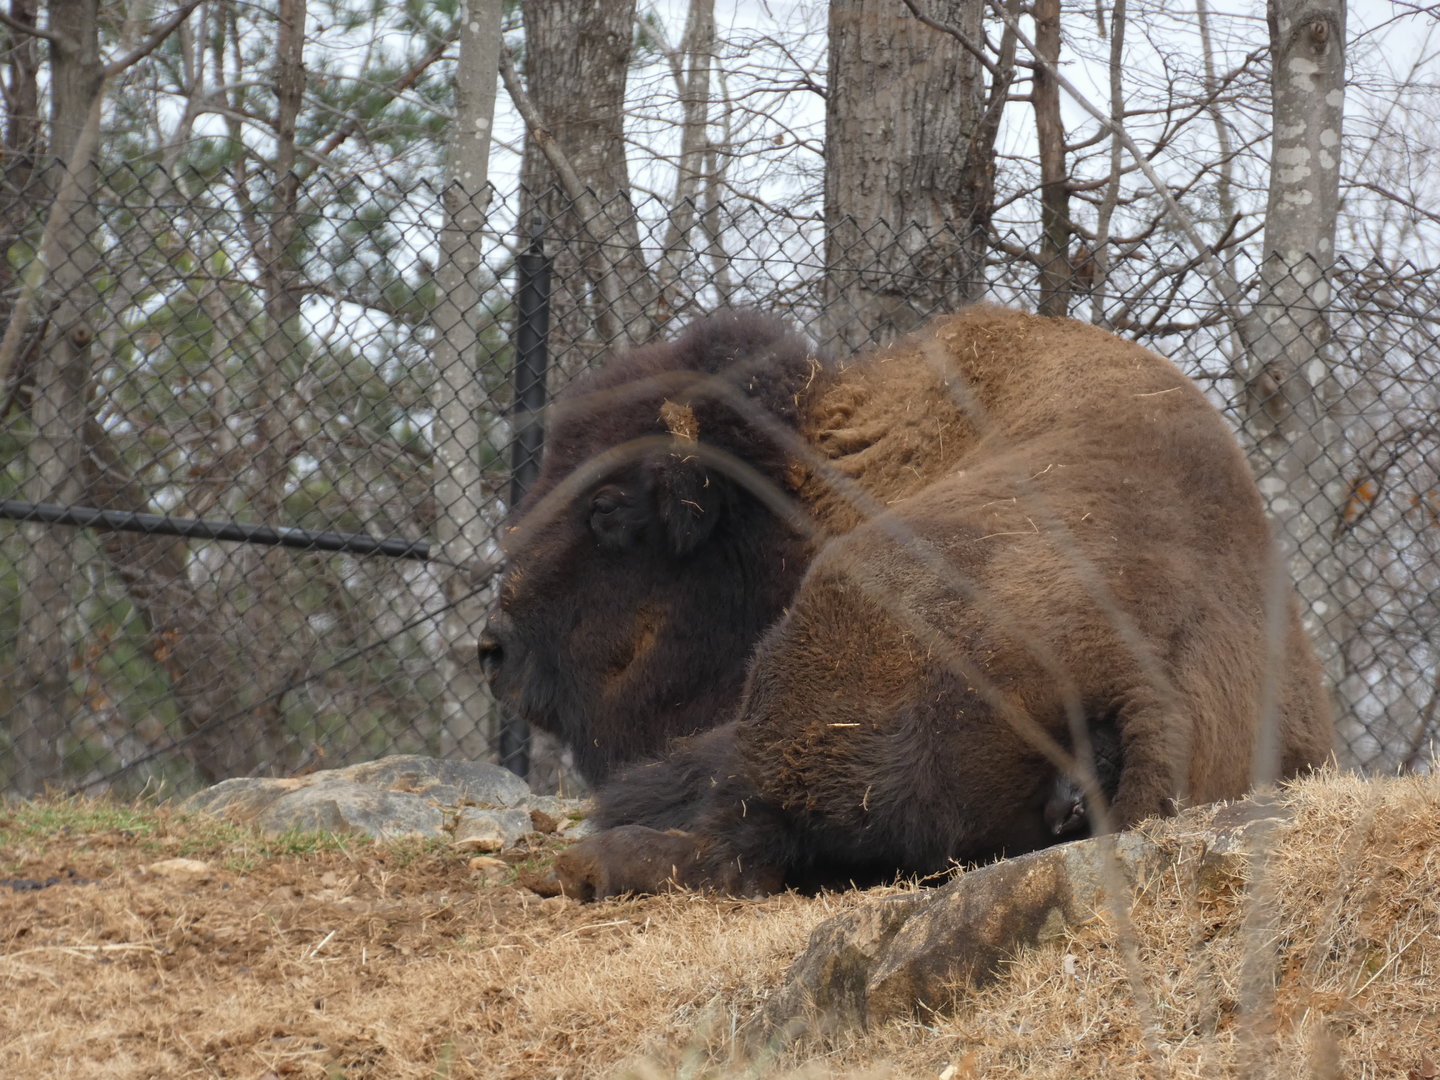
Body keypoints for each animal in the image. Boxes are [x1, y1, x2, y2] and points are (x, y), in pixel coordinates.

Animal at [479, 305, 1333, 899]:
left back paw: (584, 865)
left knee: (740, 844)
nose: (494, 650)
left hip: (824, 650)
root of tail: (1145, 676)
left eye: (606, 509)